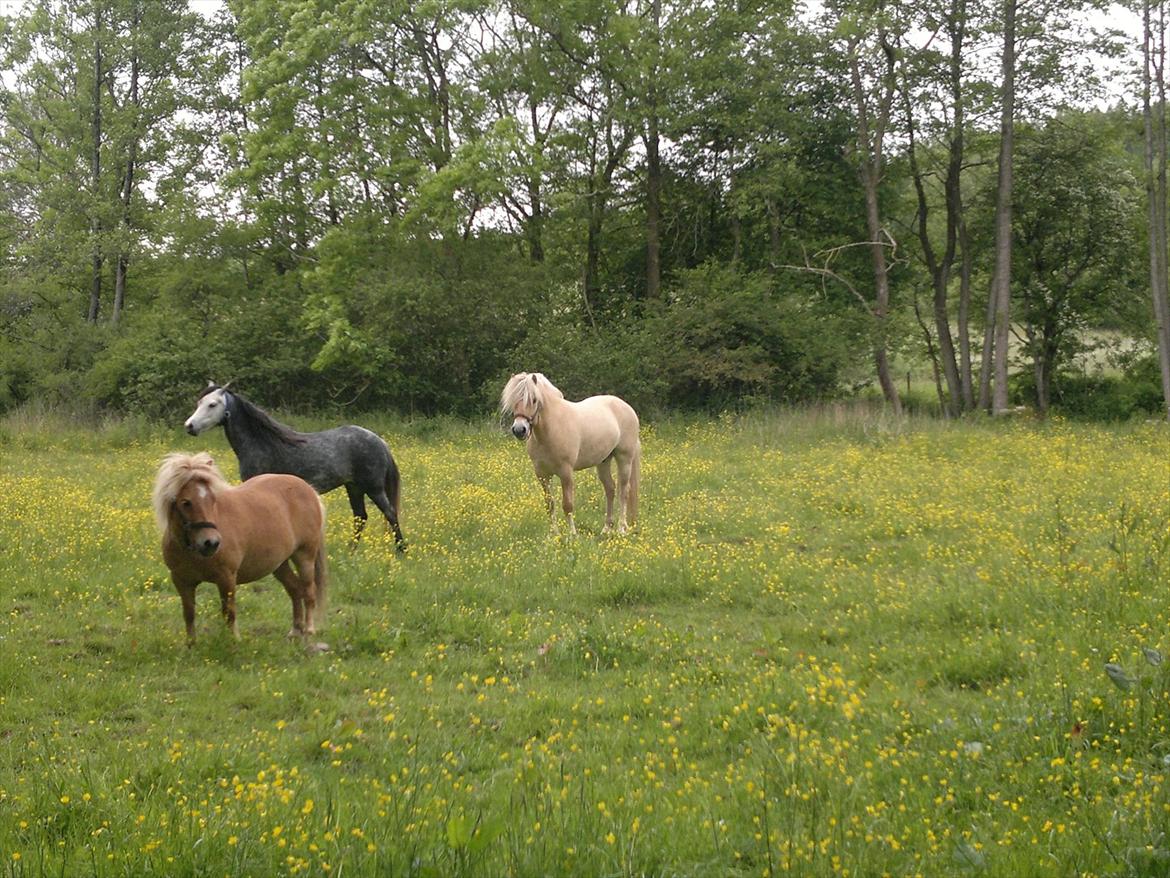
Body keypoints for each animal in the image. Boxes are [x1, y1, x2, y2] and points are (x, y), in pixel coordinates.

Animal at [152, 456, 329, 641]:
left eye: (212, 499)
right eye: (186, 502)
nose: (211, 543)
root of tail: (309, 489)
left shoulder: (226, 578)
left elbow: (229, 613)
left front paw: (234, 641)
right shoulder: (182, 581)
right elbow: (189, 614)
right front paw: (191, 644)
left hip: (305, 556)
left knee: (309, 591)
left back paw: (309, 629)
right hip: (279, 564)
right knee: (295, 589)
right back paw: (295, 630)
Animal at [493, 372, 641, 536]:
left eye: (534, 399)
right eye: (513, 400)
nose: (519, 430)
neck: (551, 430)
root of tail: (626, 407)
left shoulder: (566, 472)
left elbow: (568, 505)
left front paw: (572, 534)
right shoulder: (542, 474)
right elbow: (550, 504)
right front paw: (554, 534)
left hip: (624, 458)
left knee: (624, 491)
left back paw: (621, 528)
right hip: (603, 461)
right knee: (610, 489)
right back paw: (606, 529)